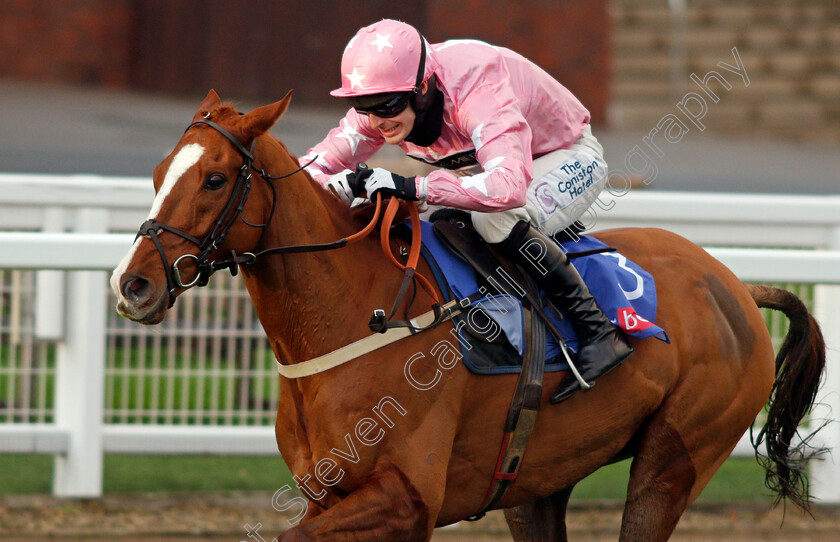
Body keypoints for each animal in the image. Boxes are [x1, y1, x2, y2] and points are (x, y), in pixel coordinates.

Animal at [108, 91, 824, 540]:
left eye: (214, 179)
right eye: (158, 173)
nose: (133, 284)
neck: (354, 318)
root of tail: (737, 286)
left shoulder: (405, 500)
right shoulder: (330, 493)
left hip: (677, 456)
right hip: (537, 480)